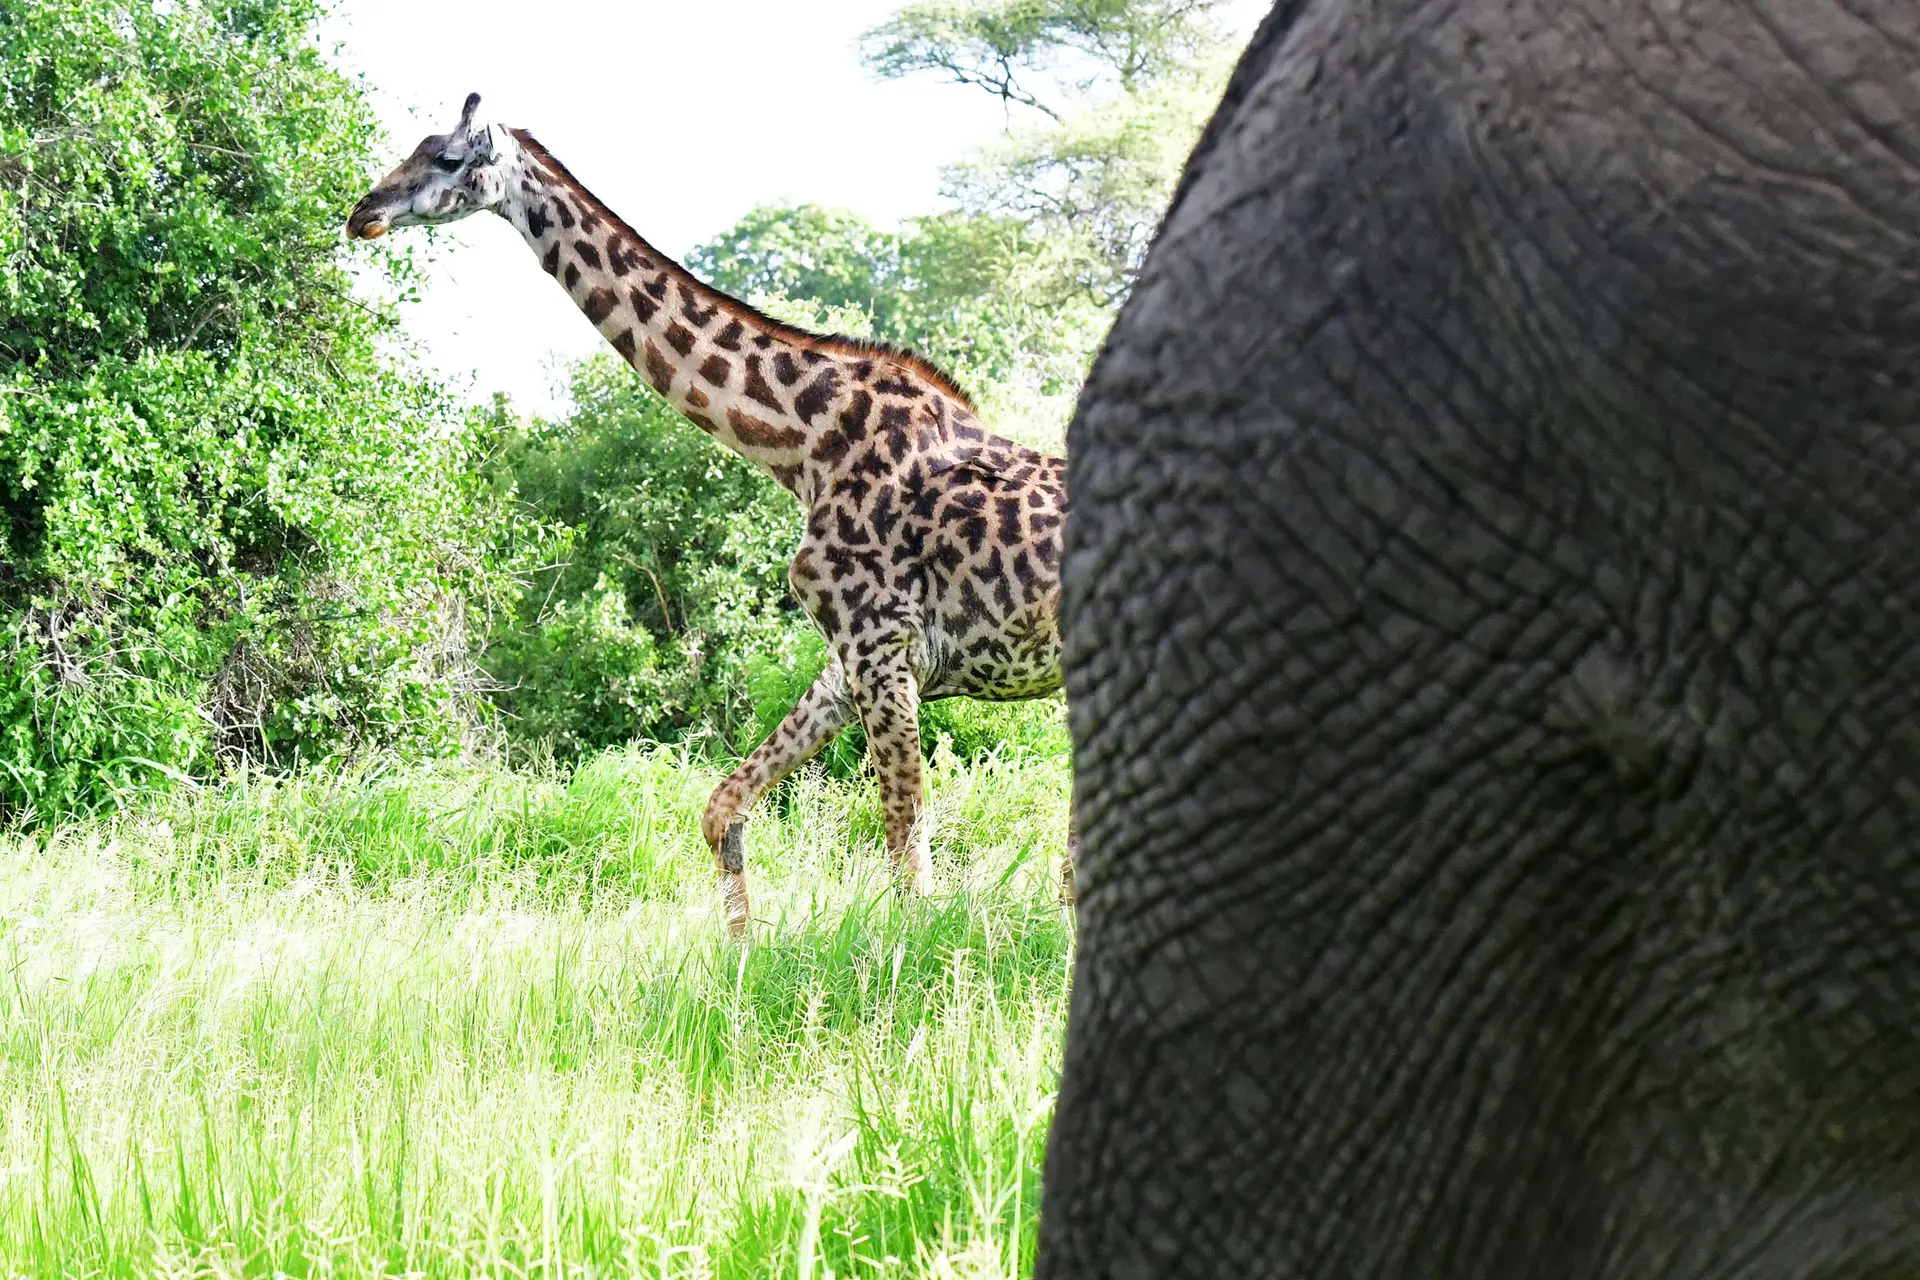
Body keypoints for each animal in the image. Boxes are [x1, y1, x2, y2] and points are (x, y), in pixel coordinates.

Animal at [343, 92, 1067, 932]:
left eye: (449, 158)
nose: (363, 213)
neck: (803, 446)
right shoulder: (850, 660)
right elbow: (723, 808)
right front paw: (740, 948)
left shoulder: (882, 646)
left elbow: (909, 859)